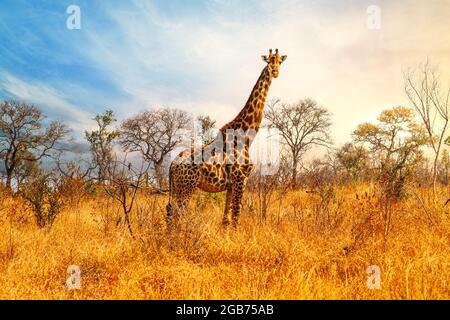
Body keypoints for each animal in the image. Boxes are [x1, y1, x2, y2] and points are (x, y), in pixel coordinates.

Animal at [167, 48, 286, 228]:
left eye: (279, 61)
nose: (275, 71)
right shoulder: (240, 179)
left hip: (176, 188)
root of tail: (173, 165)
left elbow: (226, 220)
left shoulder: (231, 185)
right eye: (269, 61)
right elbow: (236, 217)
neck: (247, 136)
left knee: (170, 212)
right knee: (178, 215)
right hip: (186, 187)